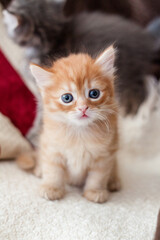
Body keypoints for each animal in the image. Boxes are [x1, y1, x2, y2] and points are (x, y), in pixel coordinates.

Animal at [26, 45, 120, 202]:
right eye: (67, 98)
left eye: (94, 94)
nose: (83, 108)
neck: (79, 132)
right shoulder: (51, 148)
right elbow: (53, 171)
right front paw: (51, 188)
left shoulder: (105, 155)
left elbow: (98, 176)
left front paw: (95, 191)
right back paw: (39, 170)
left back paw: (114, 182)